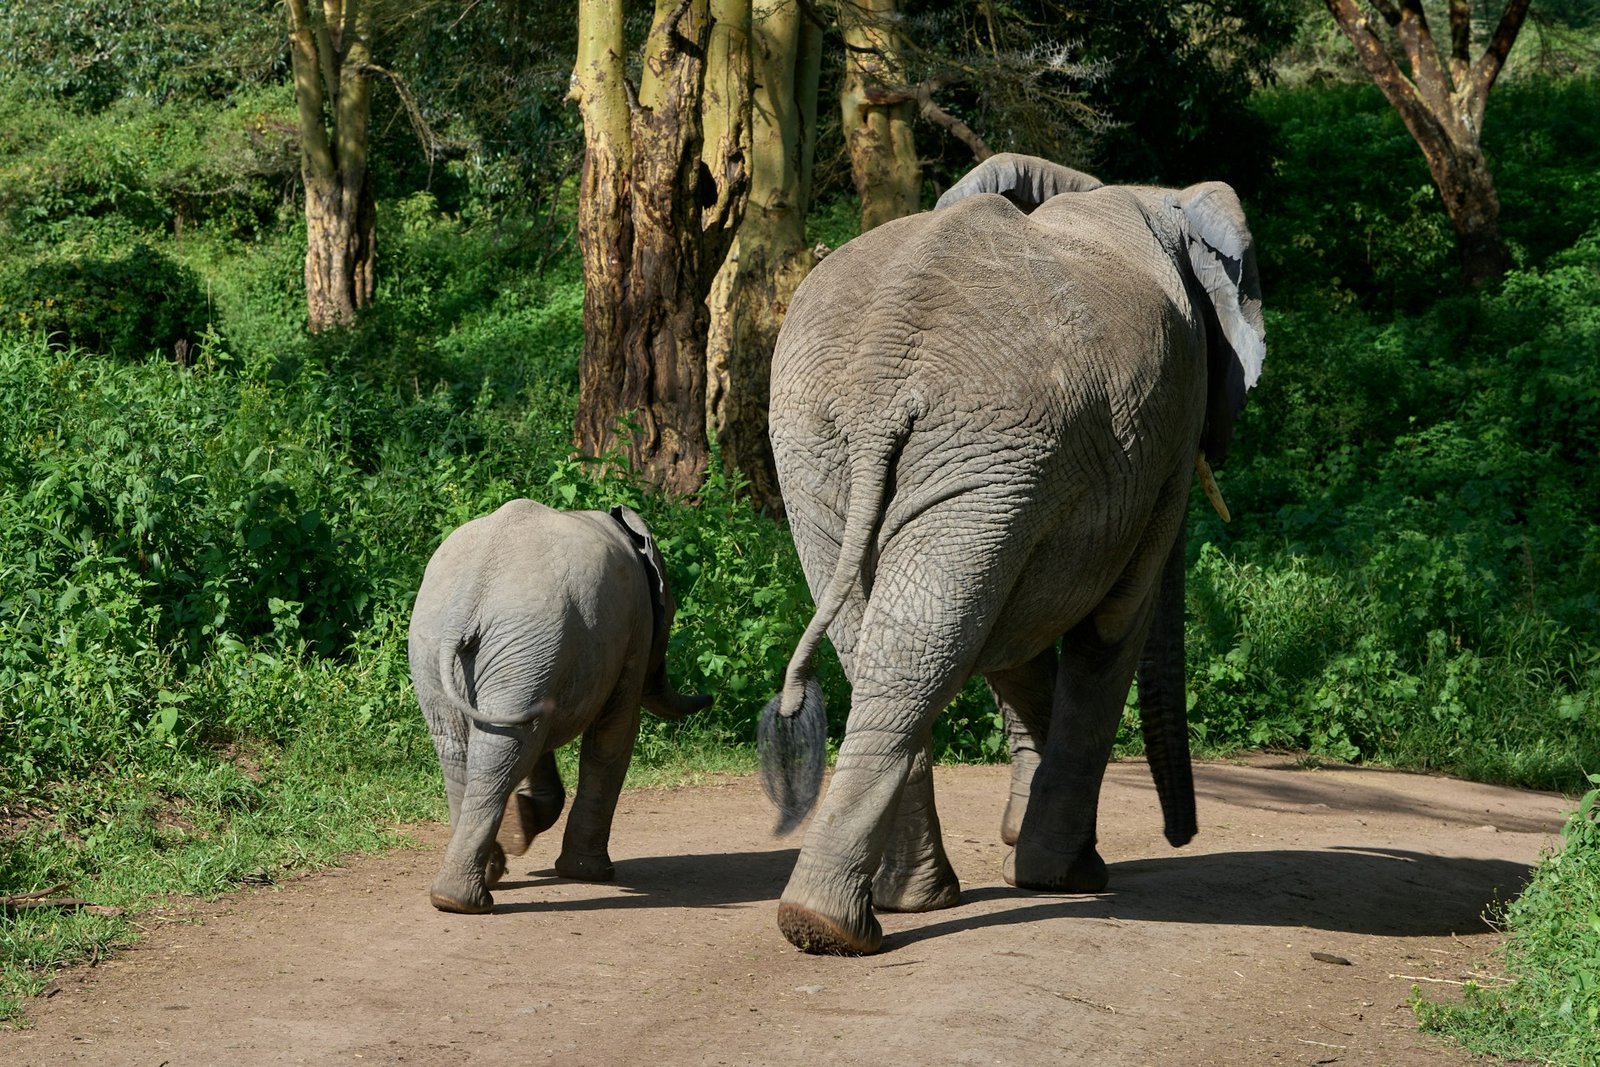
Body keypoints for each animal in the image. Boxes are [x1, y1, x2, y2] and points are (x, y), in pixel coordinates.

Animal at [410, 499, 711, 914]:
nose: (710, 696)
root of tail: (470, 594)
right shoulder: (635, 629)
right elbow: (614, 736)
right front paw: (590, 874)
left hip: (462, 647)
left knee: (472, 746)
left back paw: (465, 889)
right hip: (517, 645)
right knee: (504, 747)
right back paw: (468, 896)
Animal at [756, 152, 1264, 955]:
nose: (1180, 835)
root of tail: (883, 360)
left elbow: (1010, 634)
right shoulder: (1161, 436)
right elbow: (1109, 628)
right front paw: (1067, 876)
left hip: (843, 448)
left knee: (899, 639)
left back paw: (860, 916)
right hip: (970, 444)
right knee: (933, 634)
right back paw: (848, 922)